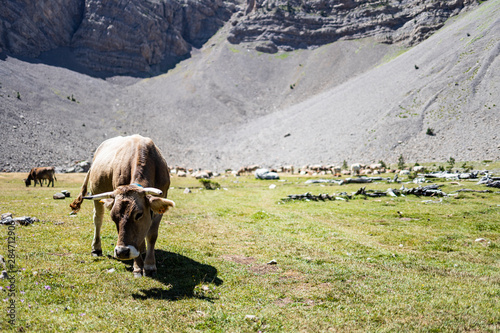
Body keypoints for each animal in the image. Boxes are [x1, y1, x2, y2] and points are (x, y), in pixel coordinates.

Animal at [70, 135, 175, 278]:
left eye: (139, 214)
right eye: (113, 217)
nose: (122, 252)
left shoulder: (160, 204)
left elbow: (152, 235)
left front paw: (149, 266)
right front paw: (138, 267)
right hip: (96, 193)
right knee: (98, 219)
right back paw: (96, 248)